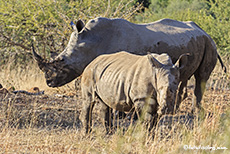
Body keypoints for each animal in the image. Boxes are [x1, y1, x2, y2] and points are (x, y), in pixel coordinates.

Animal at [33, 17, 226, 111]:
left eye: (61, 61)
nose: (48, 82)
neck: (93, 40)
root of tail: (204, 30)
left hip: (210, 44)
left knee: (201, 78)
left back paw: (195, 112)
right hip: (194, 41)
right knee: (183, 77)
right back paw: (177, 110)